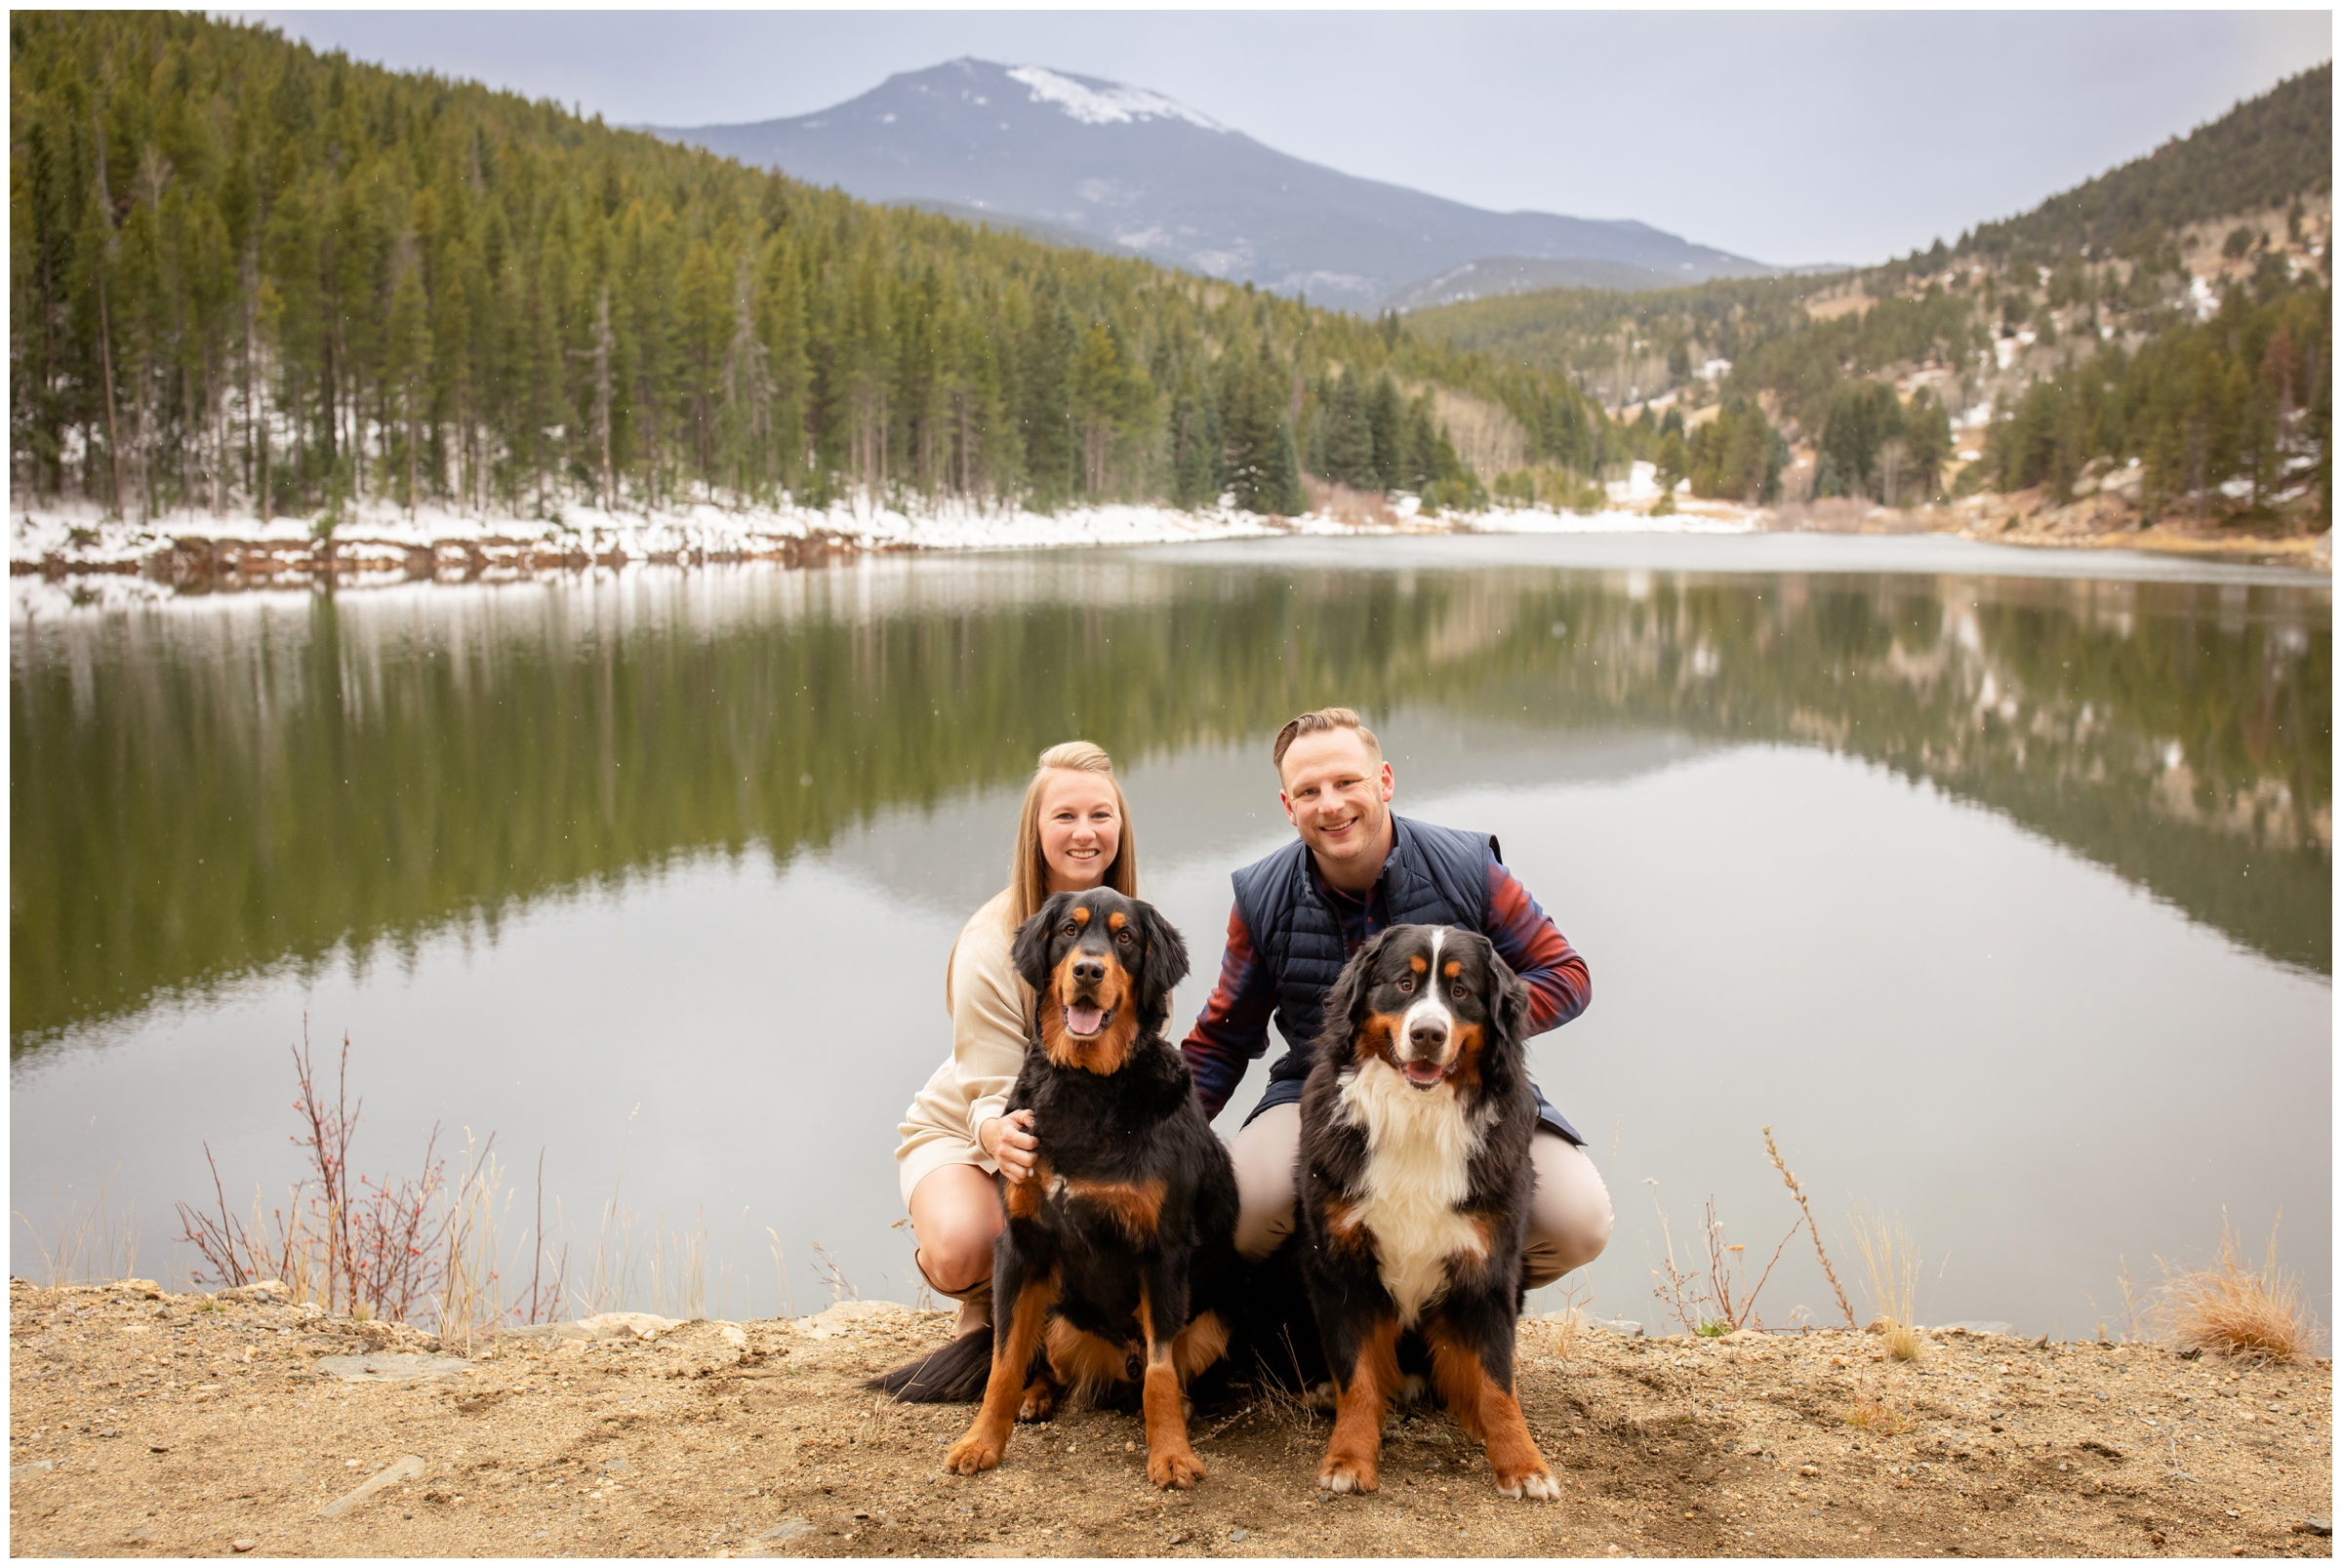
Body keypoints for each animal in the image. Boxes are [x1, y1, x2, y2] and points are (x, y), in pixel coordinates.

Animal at [870, 889, 1245, 1488]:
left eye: (1125, 938)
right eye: (1069, 930)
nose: (1087, 970)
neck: (1089, 1085)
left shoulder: (1163, 1252)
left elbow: (1161, 1373)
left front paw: (1170, 1454)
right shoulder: (1022, 1244)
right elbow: (1004, 1363)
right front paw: (982, 1441)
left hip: (1216, 1319)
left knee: (1159, 1371)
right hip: (1055, 1307)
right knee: (1041, 1362)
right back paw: (1036, 1396)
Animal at [1302, 926, 1555, 1507]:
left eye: (1461, 992)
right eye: (1403, 983)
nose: (1427, 1035)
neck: (1417, 1115)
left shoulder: (1487, 1267)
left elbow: (1497, 1380)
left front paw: (1523, 1463)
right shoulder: (1341, 1264)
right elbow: (1357, 1375)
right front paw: (1348, 1458)